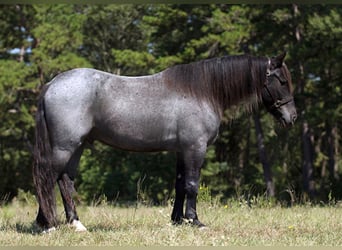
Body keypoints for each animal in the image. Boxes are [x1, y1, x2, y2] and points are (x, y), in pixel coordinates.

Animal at [33, 51, 298, 232]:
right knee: (47, 178)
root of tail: (52, 85)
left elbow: (180, 185)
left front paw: (177, 220)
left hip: (76, 147)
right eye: (282, 81)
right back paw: (47, 225)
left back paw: (75, 224)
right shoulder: (195, 148)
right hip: (65, 147)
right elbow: (192, 184)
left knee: (65, 181)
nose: (292, 117)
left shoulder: (182, 151)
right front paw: (195, 220)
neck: (202, 92)